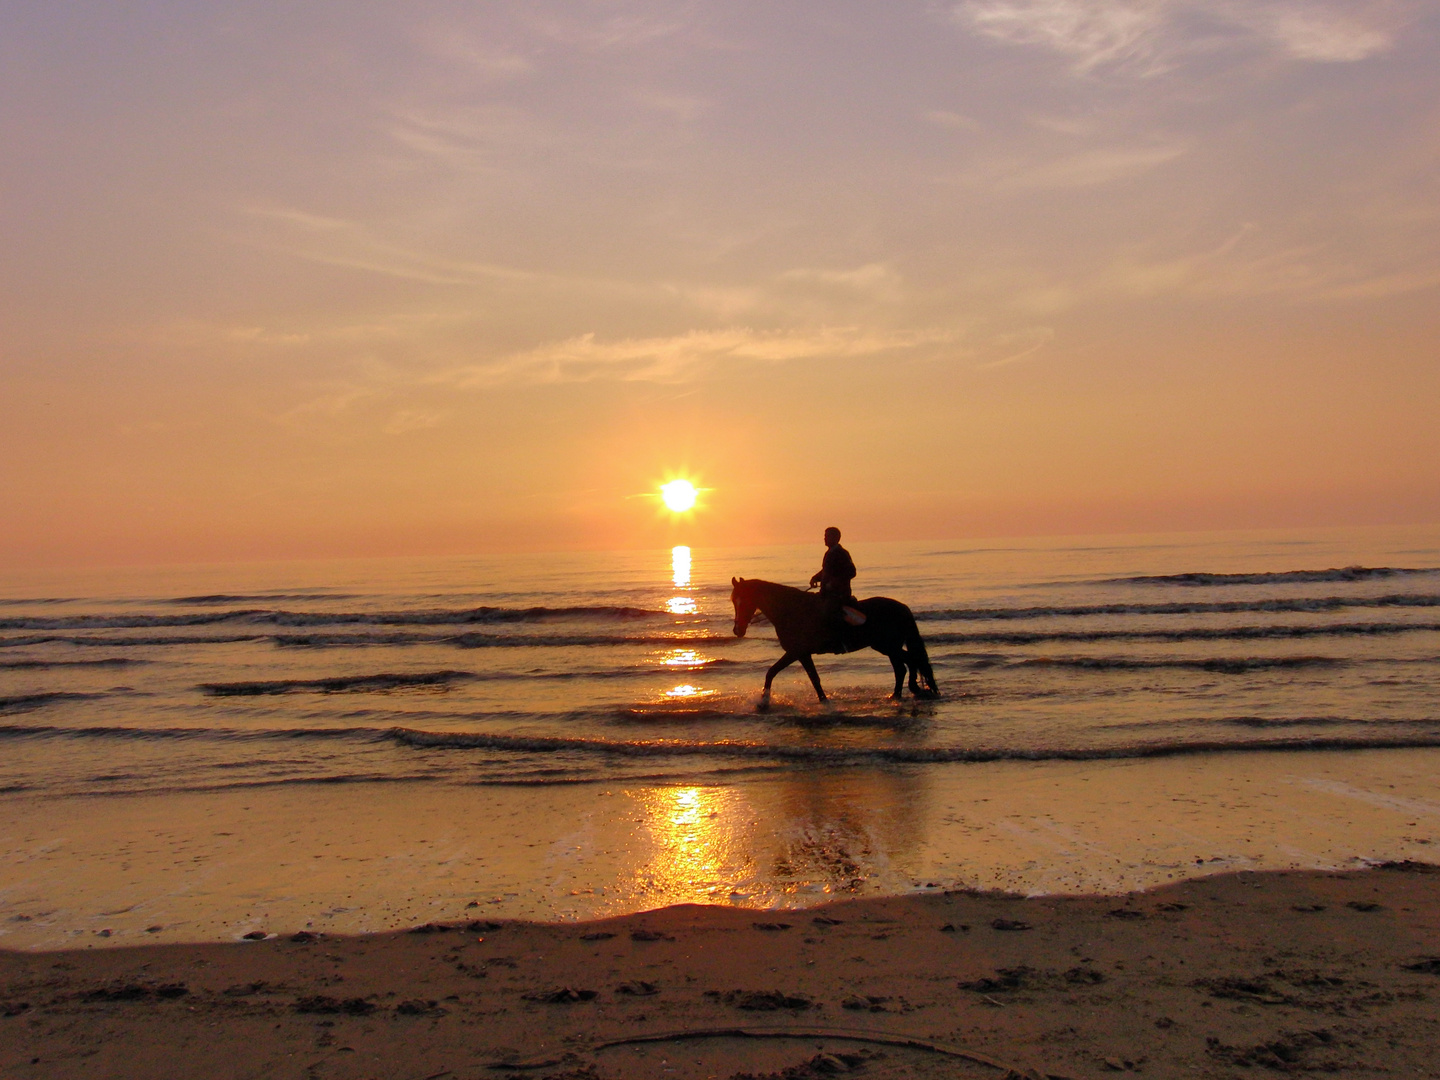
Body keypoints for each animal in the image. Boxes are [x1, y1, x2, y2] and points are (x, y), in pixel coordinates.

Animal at [725, 578, 938, 705]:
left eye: (744, 601)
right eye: (734, 601)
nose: (738, 630)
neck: (791, 610)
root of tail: (902, 607)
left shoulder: (795, 652)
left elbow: (772, 672)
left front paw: (764, 701)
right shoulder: (802, 654)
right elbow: (813, 678)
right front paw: (823, 700)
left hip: (887, 646)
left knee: (911, 662)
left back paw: (911, 690)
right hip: (888, 647)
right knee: (904, 665)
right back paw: (898, 695)